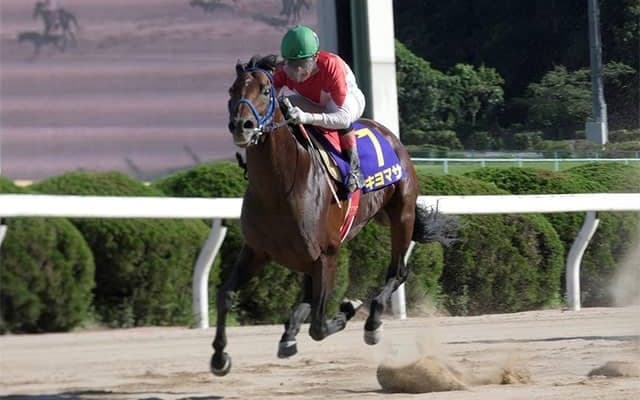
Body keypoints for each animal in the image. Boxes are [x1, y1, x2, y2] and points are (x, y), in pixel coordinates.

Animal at [211, 55, 457, 376]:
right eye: (231, 90)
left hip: (401, 214)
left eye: (265, 91)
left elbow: (318, 325)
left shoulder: (327, 255)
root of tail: (390, 136)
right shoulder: (257, 250)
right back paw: (290, 331)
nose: (242, 126)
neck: (278, 188)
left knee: (398, 271)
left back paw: (372, 321)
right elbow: (226, 294)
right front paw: (219, 357)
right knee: (308, 294)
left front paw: (348, 308)